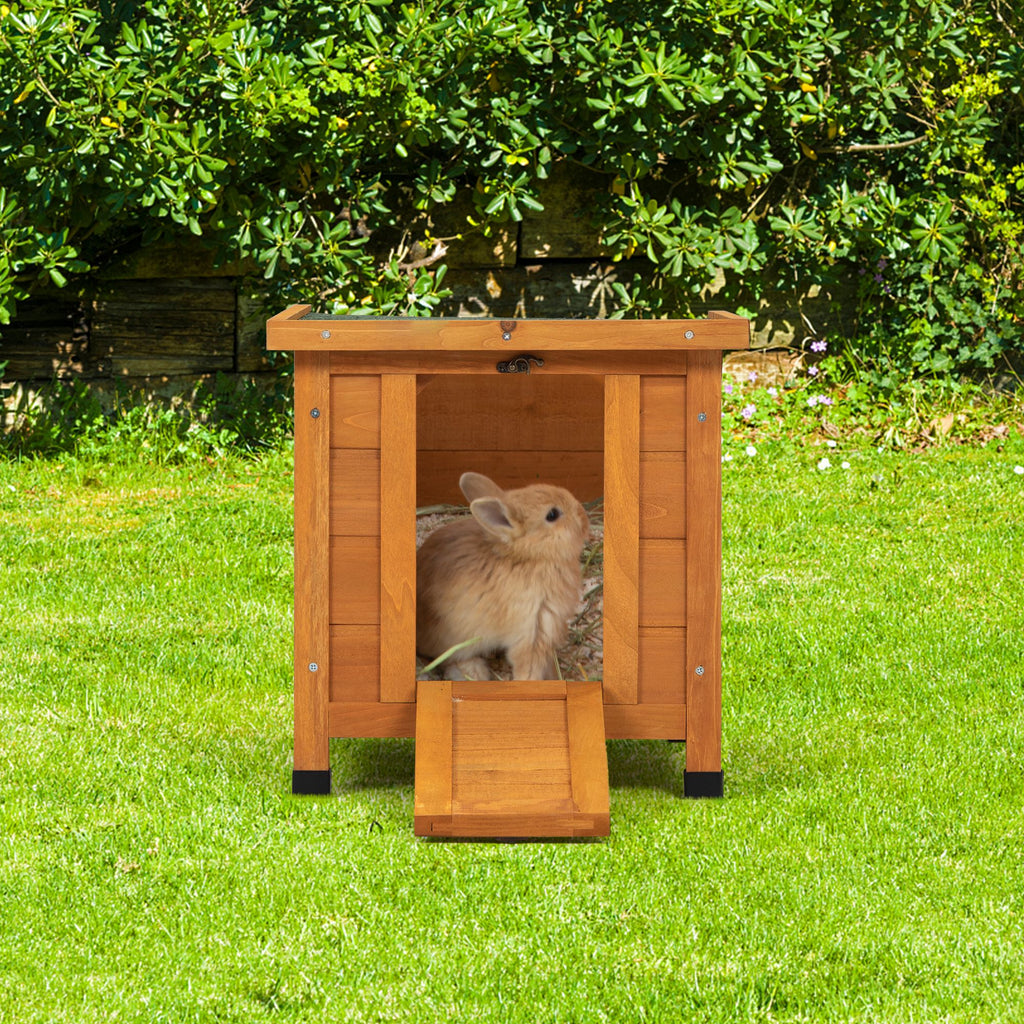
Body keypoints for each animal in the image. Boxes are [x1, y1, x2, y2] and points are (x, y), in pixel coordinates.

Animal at [416, 472, 590, 681]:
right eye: (552, 515)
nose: (584, 518)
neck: (530, 557)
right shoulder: (532, 630)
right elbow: (528, 668)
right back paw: (476, 673)